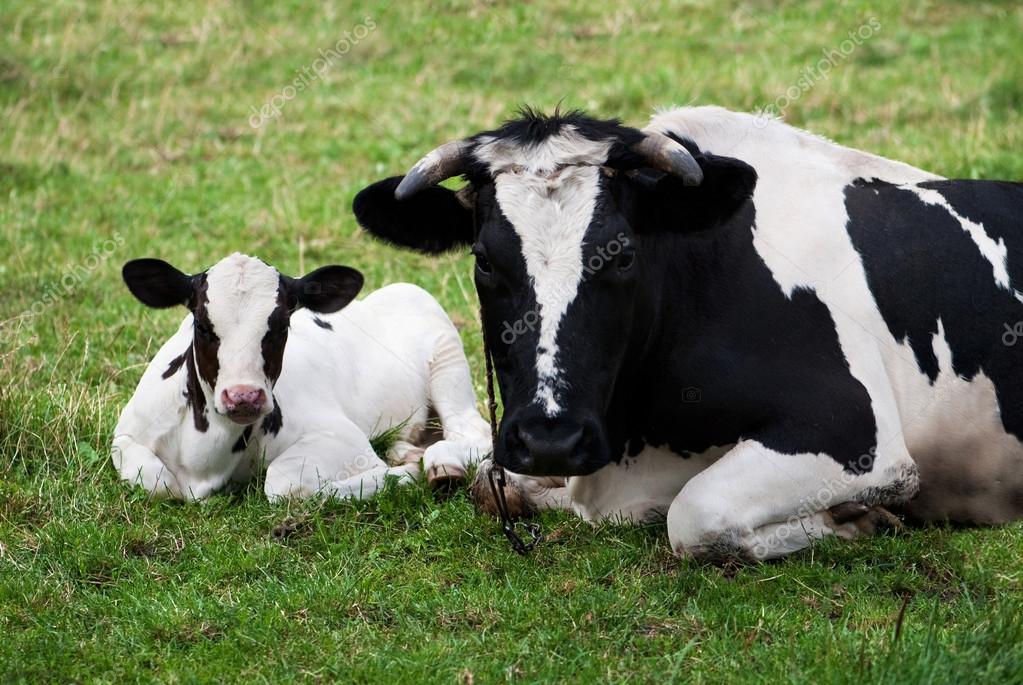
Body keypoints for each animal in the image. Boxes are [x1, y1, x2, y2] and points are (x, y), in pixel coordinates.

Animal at [112, 252, 491, 501]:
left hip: (445, 354)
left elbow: (281, 484)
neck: (203, 462)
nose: (244, 397)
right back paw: (406, 451)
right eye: (202, 326)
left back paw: (440, 463)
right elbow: (156, 482)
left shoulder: (344, 438)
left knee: (474, 432)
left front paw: (397, 475)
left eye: (281, 326)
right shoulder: (126, 434)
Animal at [352, 105, 1023, 562]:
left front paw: (858, 518)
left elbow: (696, 515)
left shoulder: (856, 433)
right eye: (484, 260)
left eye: (622, 254)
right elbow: (491, 488)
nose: (551, 439)